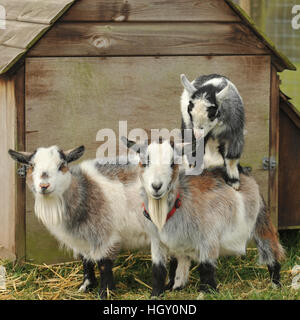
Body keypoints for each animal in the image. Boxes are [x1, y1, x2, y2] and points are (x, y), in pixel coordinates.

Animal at [8, 146, 185, 298]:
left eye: (61, 165)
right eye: (32, 166)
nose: (44, 185)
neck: (83, 192)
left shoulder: (105, 235)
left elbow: (103, 264)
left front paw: (104, 292)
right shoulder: (83, 238)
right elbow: (86, 261)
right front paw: (85, 286)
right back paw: (171, 285)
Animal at [123, 137, 286, 298]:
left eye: (172, 163)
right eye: (145, 162)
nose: (156, 186)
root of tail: (240, 171)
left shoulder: (208, 237)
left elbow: (206, 266)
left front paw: (207, 292)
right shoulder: (158, 241)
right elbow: (158, 268)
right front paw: (156, 293)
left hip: (260, 220)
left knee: (271, 249)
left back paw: (276, 284)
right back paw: (175, 285)